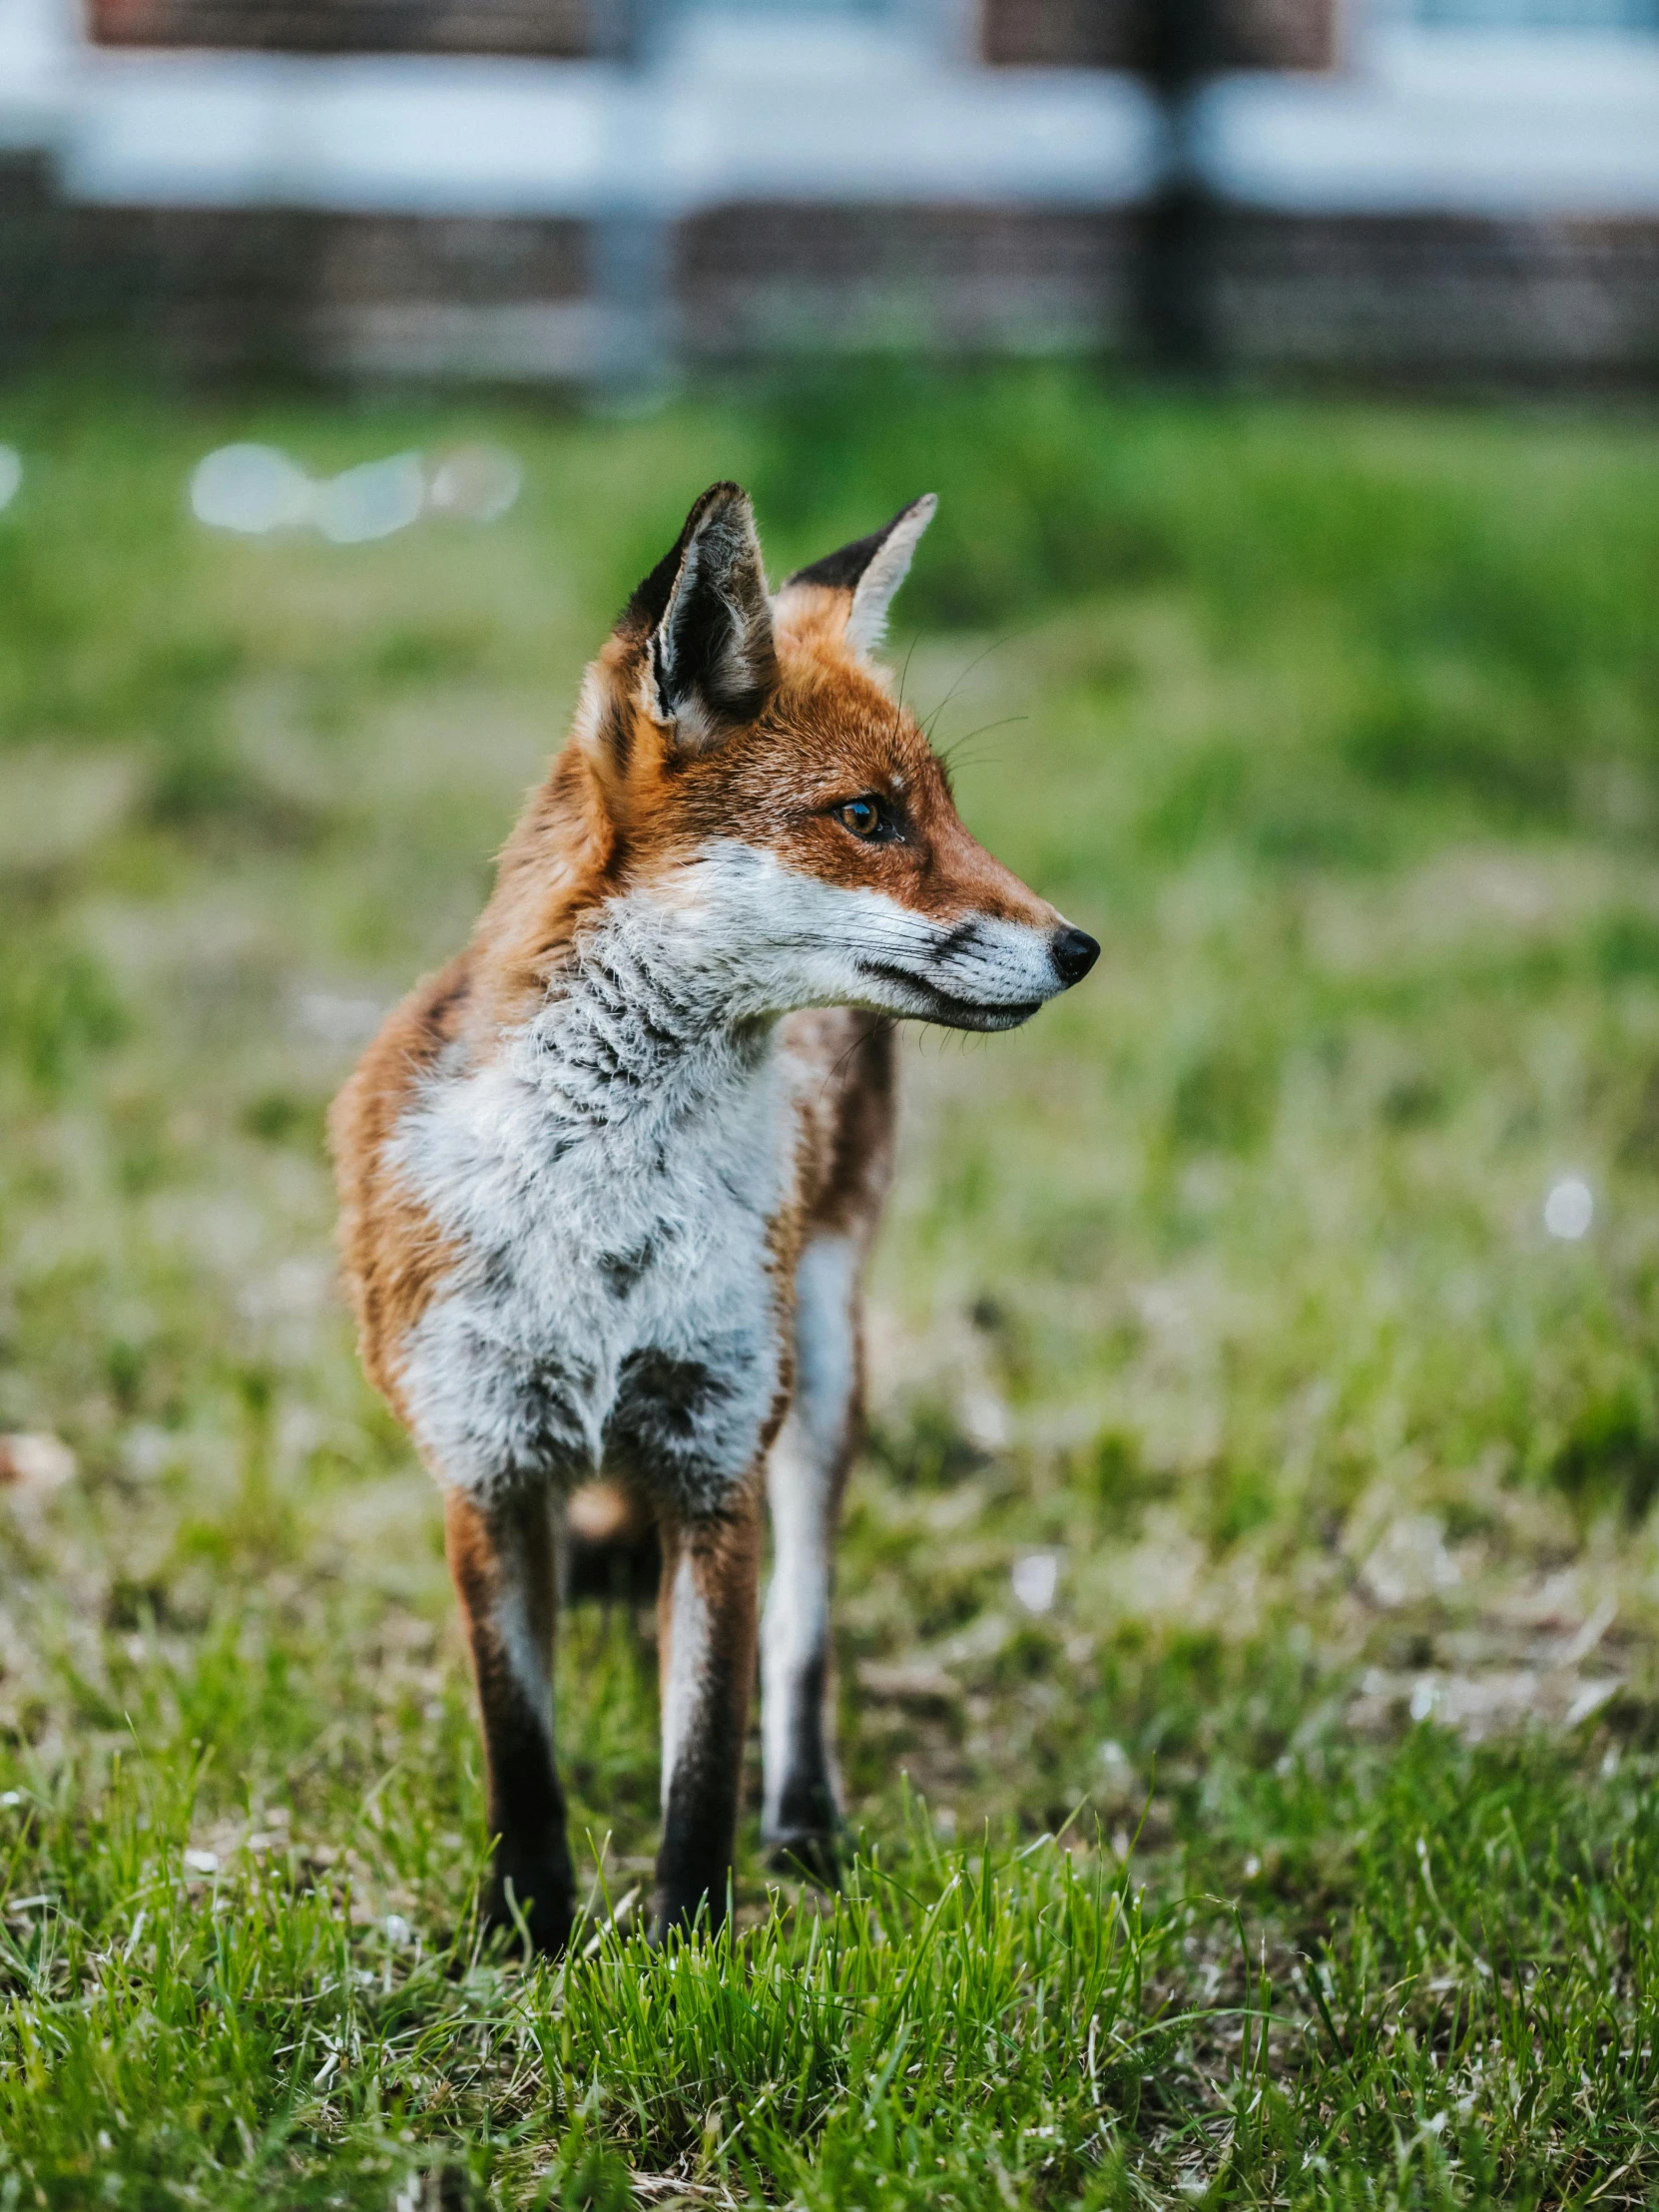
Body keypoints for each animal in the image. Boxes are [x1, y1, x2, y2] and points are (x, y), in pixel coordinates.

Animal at [329, 488, 1097, 1954]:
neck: (602, 1221)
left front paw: (685, 1946)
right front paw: (525, 1930)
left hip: (823, 1372)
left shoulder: (715, 1458)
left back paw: (806, 1821)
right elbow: (521, 1748)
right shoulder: (487, 1467)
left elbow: (704, 1755)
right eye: (867, 814)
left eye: (947, 808)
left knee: (802, 1641)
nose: (1080, 947)